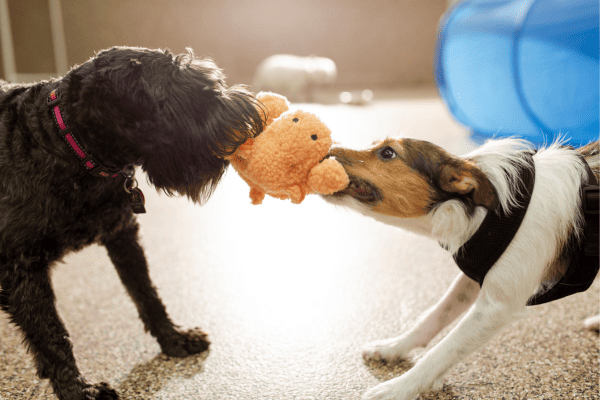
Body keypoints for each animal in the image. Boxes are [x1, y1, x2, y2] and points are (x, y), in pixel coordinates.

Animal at [0, 47, 262, 400]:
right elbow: (52, 334)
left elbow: (147, 293)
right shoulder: (23, 268)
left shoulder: (122, 234)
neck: (65, 143)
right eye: (189, 95)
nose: (248, 118)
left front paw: (174, 339)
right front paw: (78, 389)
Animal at [322, 138, 596, 400]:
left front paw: (397, 389)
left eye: (387, 152)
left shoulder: (496, 307)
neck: (483, 212)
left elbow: (443, 351)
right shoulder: (474, 276)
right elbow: (434, 316)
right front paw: (393, 347)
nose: (326, 150)